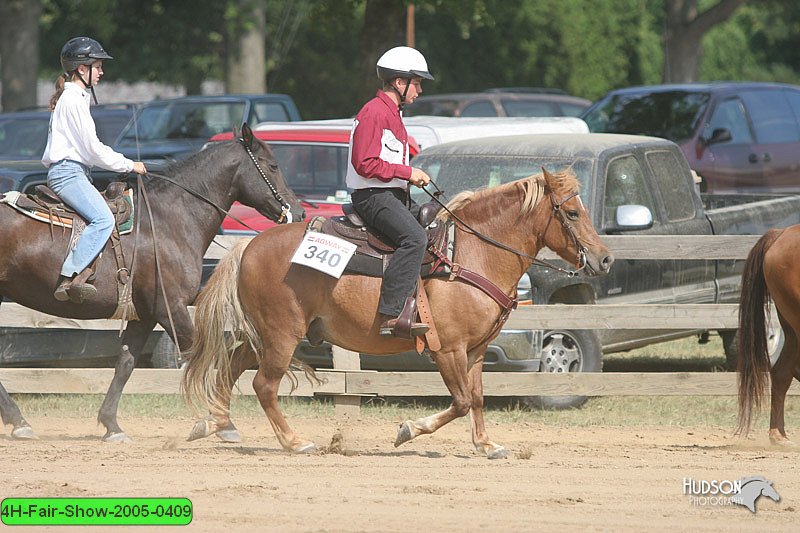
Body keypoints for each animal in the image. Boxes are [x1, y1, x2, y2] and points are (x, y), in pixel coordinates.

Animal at [0, 124, 304, 440]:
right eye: (273, 165)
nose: (299, 212)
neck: (170, 221)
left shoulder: (145, 314)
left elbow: (126, 363)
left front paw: (112, 425)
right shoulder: (171, 308)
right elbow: (204, 356)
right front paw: (223, 423)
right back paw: (19, 422)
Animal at [184, 167, 616, 458]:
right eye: (572, 214)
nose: (605, 259)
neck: (470, 254)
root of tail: (250, 245)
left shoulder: (476, 351)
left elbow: (476, 398)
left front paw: (486, 444)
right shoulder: (447, 349)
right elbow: (461, 401)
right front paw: (408, 429)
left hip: (267, 336)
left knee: (229, 368)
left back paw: (214, 424)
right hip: (281, 335)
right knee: (263, 385)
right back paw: (294, 441)